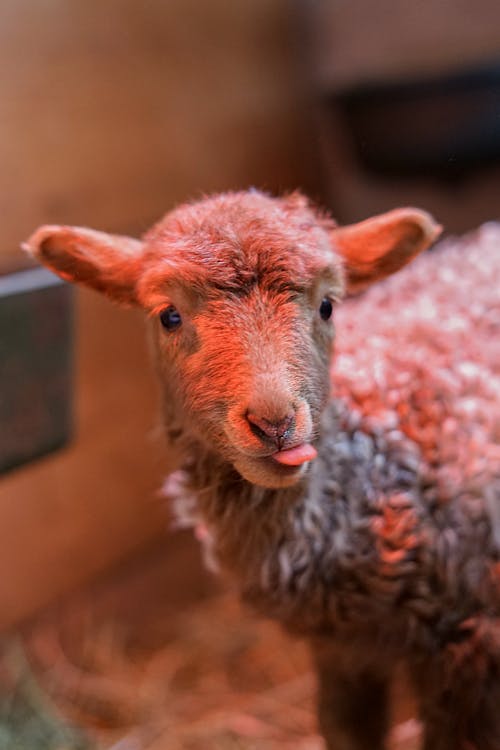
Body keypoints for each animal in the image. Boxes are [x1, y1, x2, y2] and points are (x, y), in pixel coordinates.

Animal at [26, 192, 500, 750]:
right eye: (169, 316)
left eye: (327, 305)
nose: (275, 423)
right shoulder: (340, 649)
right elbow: (346, 729)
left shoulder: (468, 646)